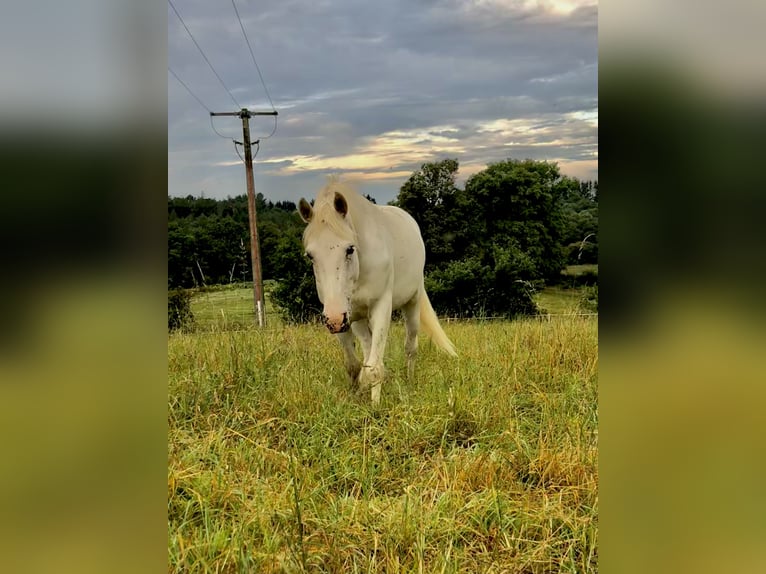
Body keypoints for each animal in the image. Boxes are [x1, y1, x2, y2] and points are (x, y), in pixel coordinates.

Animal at [298, 178, 456, 408]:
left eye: (350, 249)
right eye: (310, 255)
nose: (335, 319)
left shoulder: (380, 307)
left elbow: (374, 368)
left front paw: (375, 408)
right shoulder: (344, 316)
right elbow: (354, 365)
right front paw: (357, 397)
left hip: (412, 303)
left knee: (411, 347)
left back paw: (408, 383)